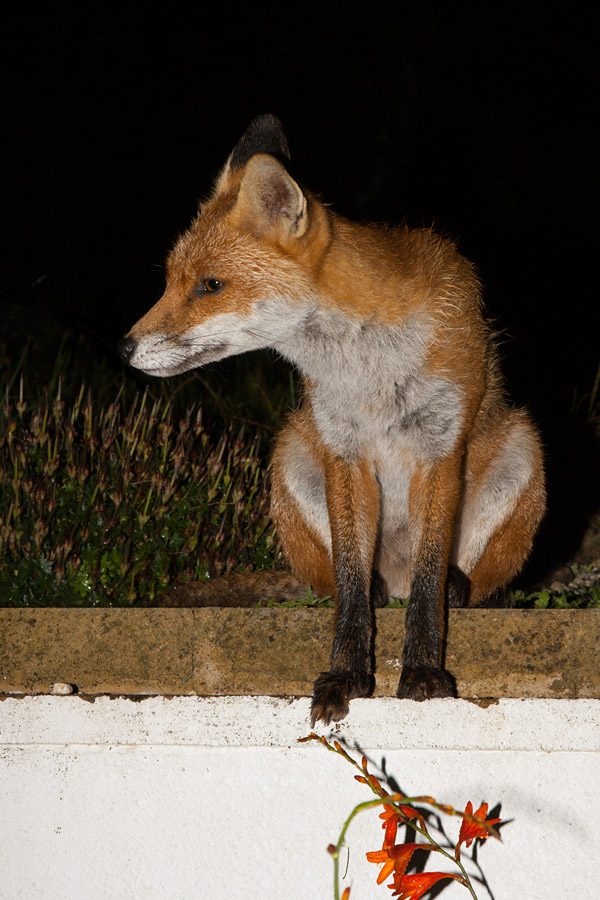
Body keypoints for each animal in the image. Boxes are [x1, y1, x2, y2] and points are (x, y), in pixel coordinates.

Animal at [119, 114, 545, 726]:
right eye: (171, 280)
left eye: (211, 285)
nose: (125, 349)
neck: (367, 371)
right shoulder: (342, 448)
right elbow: (347, 588)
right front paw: (346, 676)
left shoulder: (439, 446)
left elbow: (427, 586)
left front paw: (423, 674)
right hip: (293, 450)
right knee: (345, 586)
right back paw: (376, 592)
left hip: (522, 450)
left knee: (456, 583)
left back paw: (459, 589)